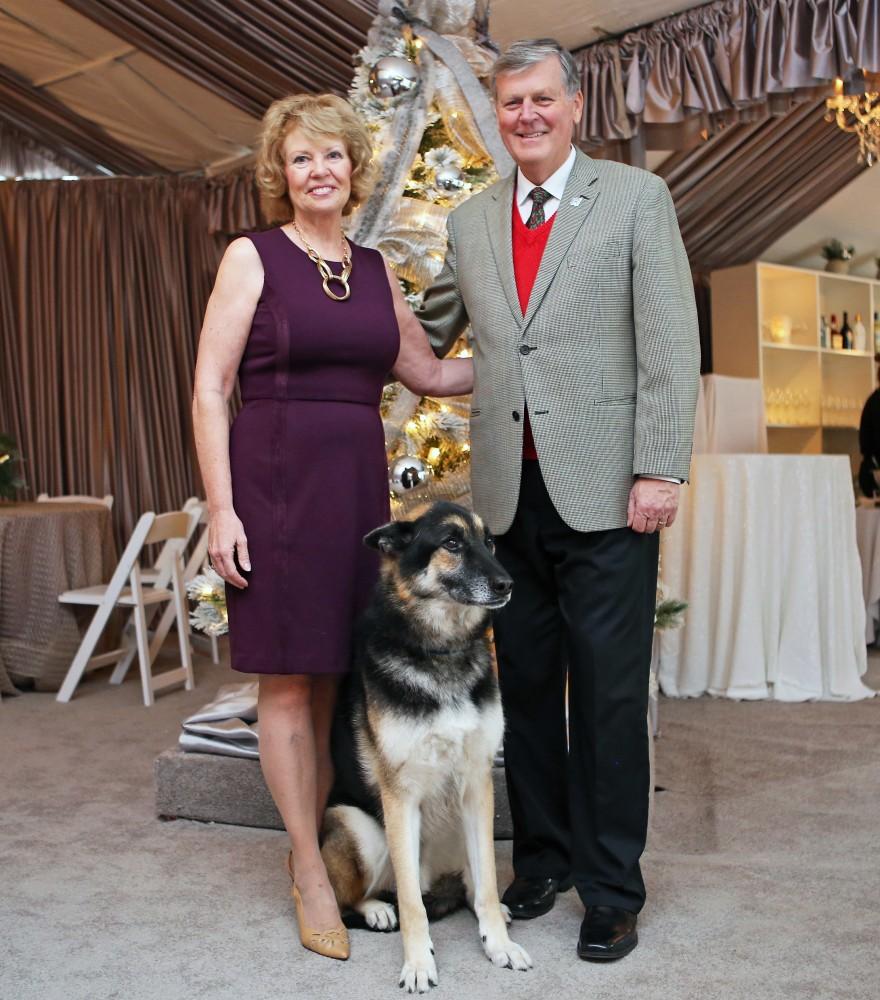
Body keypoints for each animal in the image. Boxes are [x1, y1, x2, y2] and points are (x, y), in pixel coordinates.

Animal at [322, 504, 532, 988]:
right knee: (363, 895)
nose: (507, 584)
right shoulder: (400, 798)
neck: (442, 651)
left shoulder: (477, 786)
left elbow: (488, 885)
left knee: (473, 883)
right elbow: (411, 905)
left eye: (489, 543)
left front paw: (498, 944)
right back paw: (377, 910)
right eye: (451, 543)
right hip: (361, 830)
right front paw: (419, 963)